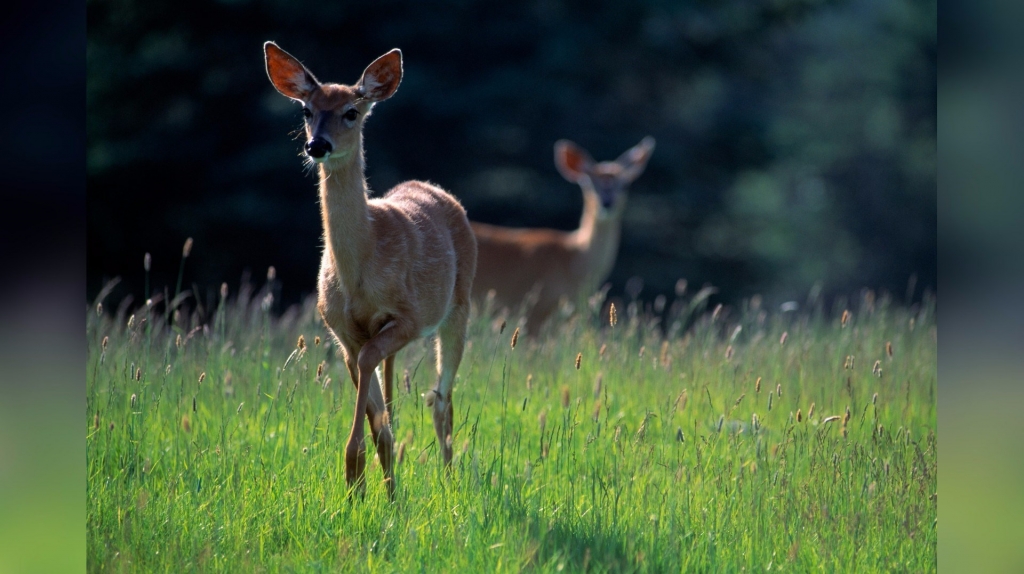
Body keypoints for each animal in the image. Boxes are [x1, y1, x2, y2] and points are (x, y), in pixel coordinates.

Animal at [262, 41, 473, 497]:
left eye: (351, 111)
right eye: (306, 110)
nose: (317, 145)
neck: (359, 269)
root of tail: (435, 190)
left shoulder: (407, 316)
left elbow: (370, 369)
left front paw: (354, 469)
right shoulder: (342, 330)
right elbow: (380, 418)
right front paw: (370, 491)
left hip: (458, 307)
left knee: (442, 399)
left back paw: (450, 482)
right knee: (399, 393)